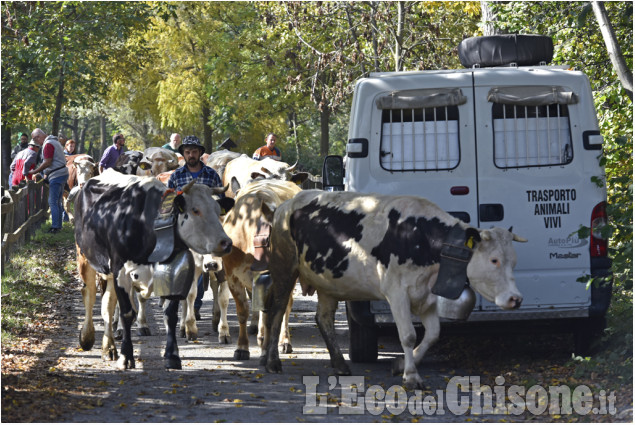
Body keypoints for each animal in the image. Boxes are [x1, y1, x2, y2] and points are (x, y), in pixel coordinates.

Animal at [75, 168, 234, 368]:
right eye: (195, 210)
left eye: (217, 210)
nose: (226, 243)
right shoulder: (121, 271)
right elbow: (127, 313)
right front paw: (126, 356)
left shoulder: (173, 272)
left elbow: (170, 314)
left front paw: (172, 356)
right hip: (86, 258)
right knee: (88, 294)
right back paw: (87, 337)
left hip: (109, 273)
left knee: (107, 305)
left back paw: (109, 347)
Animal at [222, 178, 304, 358]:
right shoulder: (232, 276)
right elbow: (243, 312)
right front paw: (242, 347)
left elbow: (270, 314)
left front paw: (266, 346)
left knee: (285, 307)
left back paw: (283, 341)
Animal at [262, 190, 528, 390]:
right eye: (494, 260)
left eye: (514, 261)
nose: (515, 299)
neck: (419, 237)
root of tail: (285, 205)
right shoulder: (397, 292)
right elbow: (408, 335)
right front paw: (411, 376)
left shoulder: (427, 297)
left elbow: (432, 334)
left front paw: (400, 365)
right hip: (284, 268)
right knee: (277, 310)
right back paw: (272, 361)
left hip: (328, 281)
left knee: (323, 318)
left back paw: (340, 364)